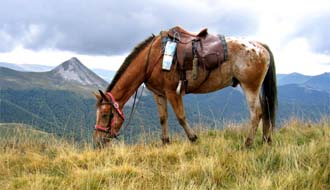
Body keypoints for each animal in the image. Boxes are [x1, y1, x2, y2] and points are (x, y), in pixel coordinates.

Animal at [94, 27, 278, 148]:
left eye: (105, 115)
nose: (97, 142)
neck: (153, 58)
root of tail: (260, 46)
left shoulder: (172, 92)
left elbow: (181, 117)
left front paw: (193, 138)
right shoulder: (158, 94)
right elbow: (163, 118)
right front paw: (165, 142)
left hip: (249, 87)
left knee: (257, 113)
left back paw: (248, 143)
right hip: (255, 88)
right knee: (265, 109)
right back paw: (266, 139)